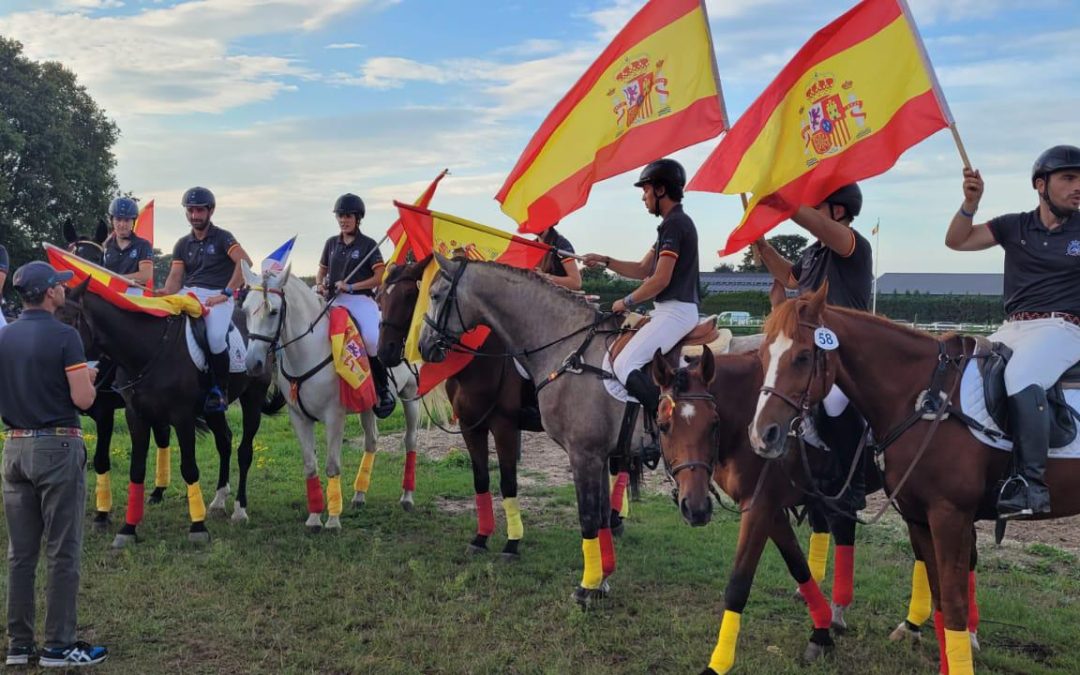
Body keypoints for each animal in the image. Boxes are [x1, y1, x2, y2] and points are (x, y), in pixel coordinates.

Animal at [61, 276, 280, 544]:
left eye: (69, 319)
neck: (148, 348)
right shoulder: (135, 415)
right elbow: (136, 469)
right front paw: (127, 528)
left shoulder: (178, 416)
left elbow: (188, 468)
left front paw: (197, 527)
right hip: (213, 409)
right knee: (224, 441)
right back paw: (217, 500)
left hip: (253, 398)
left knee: (244, 451)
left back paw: (239, 510)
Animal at [239, 260, 421, 529]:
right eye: (245, 310)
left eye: (273, 312)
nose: (253, 363)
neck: (307, 352)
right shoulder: (299, 418)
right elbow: (310, 466)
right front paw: (314, 518)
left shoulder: (334, 416)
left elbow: (332, 466)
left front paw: (333, 520)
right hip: (367, 404)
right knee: (372, 441)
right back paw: (359, 495)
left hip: (411, 395)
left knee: (410, 441)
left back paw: (407, 497)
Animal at [747, 285, 1067, 673]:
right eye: (763, 354)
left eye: (804, 356)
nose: (762, 434)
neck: (923, 400)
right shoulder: (917, 512)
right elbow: (940, 589)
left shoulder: (946, 513)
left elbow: (951, 598)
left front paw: (833, 619)